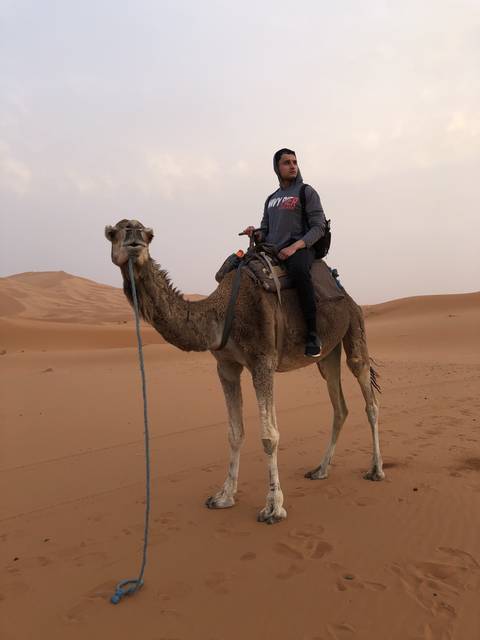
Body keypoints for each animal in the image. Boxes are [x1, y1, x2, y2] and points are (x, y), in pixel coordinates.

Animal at [105, 219, 384, 525]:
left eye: (148, 234)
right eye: (114, 233)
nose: (134, 240)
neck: (220, 312)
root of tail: (347, 294)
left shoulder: (262, 361)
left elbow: (269, 436)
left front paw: (273, 508)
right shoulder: (226, 366)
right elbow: (235, 432)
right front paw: (224, 496)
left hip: (354, 327)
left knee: (368, 396)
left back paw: (376, 470)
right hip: (328, 354)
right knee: (339, 405)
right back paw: (321, 470)